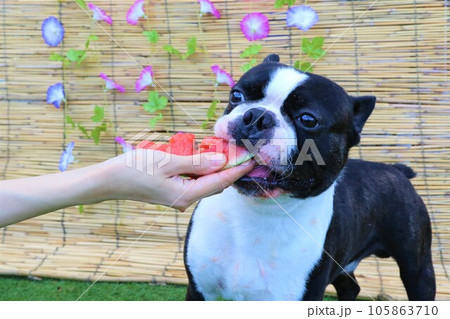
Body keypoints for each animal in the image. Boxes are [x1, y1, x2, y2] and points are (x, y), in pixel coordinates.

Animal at [183, 53, 436, 302]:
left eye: (308, 119)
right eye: (236, 95)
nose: (256, 116)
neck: (259, 211)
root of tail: (396, 170)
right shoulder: (198, 291)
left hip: (417, 267)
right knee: (350, 286)